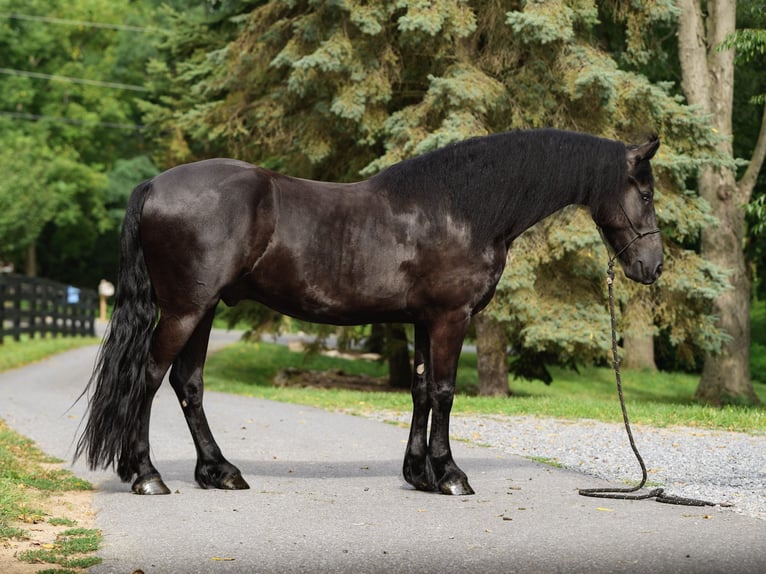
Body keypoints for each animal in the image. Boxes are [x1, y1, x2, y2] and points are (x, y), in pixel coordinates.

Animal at [75, 128, 662, 496]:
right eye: (647, 193)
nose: (652, 266)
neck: (460, 209)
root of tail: (156, 185)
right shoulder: (451, 318)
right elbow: (445, 392)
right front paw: (451, 475)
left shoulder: (424, 320)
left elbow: (421, 390)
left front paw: (419, 474)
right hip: (185, 309)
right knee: (149, 377)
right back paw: (147, 474)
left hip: (204, 309)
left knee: (188, 383)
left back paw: (219, 472)